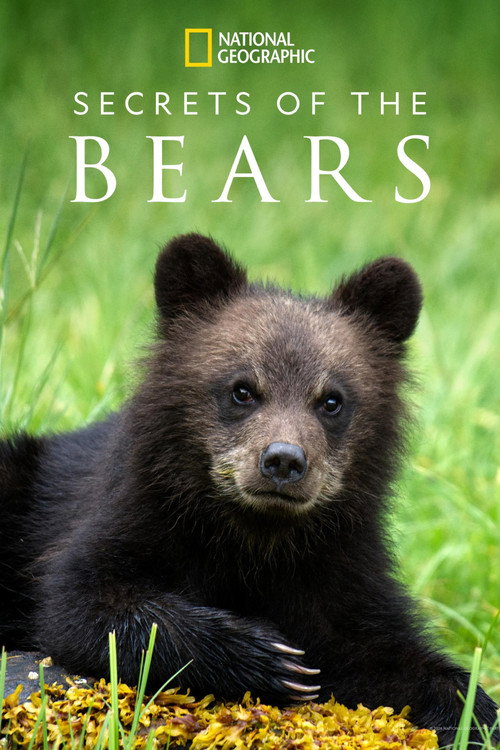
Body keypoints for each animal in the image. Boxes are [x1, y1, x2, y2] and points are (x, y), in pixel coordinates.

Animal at [0, 233, 498, 747]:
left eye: (332, 400)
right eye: (242, 389)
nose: (283, 460)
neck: (256, 538)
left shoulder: (338, 562)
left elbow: (380, 647)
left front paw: (471, 709)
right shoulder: (132, 514)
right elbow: (84, 604)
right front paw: (267, 657)